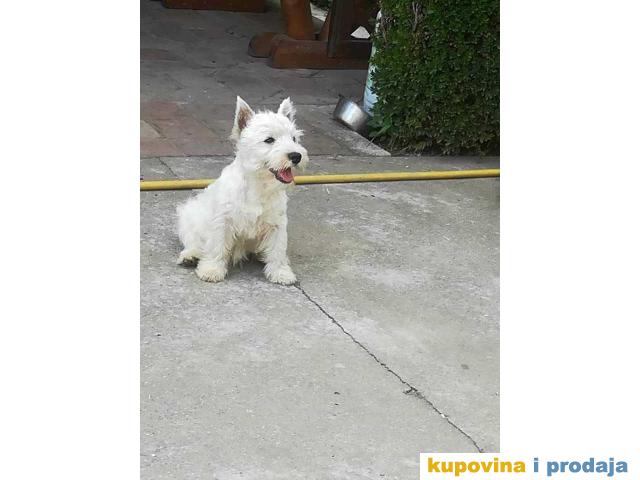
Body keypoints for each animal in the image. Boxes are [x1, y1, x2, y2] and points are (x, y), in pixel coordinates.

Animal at [176, 96, 309, 285]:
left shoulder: (277, 224)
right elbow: (216, 246)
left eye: (294, 139)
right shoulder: (223, 221)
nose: (296, 156)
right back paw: (190, 256)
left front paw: (281, 272)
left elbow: (277, 250)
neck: (259, 185)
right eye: (269, 140)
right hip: (188, 216)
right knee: (192, 240)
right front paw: (211, 270)